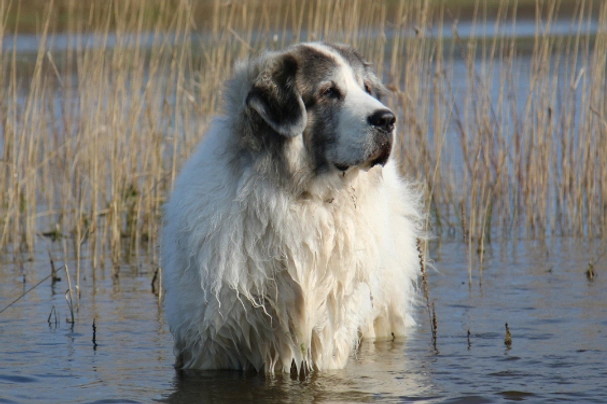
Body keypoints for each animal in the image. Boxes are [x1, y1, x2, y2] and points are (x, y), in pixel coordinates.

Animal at [163, 42, 428, 374]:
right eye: (329, 92)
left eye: (366, 88)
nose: (387, 119)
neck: (303, 197)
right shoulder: (208, 345)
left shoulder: (327, 336)